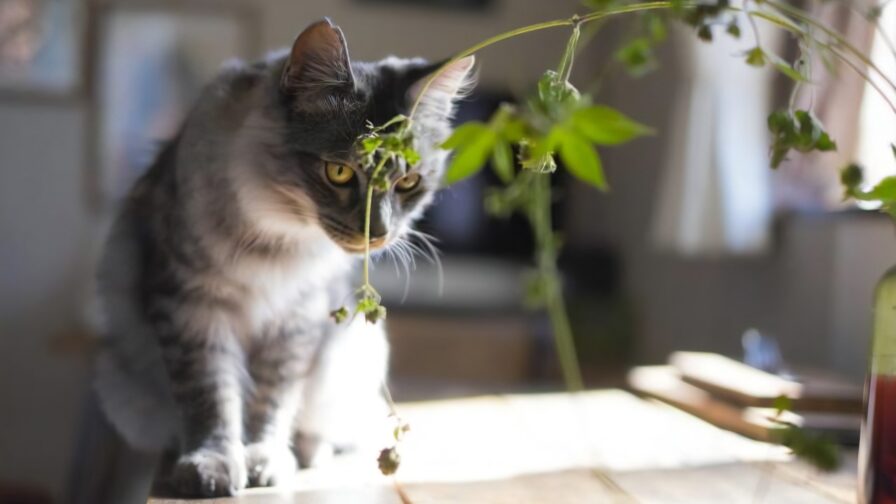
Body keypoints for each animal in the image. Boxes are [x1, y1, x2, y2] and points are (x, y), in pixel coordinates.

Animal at [93, 17, 476, 498]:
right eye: (339, 172)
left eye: (407, 182)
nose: (379, 233)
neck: (279, 240)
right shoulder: (191, 307)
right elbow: (211, 396)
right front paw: (213, 465)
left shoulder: (297, 318)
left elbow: (272, 399)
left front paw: (265, 460)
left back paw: (308, 453)